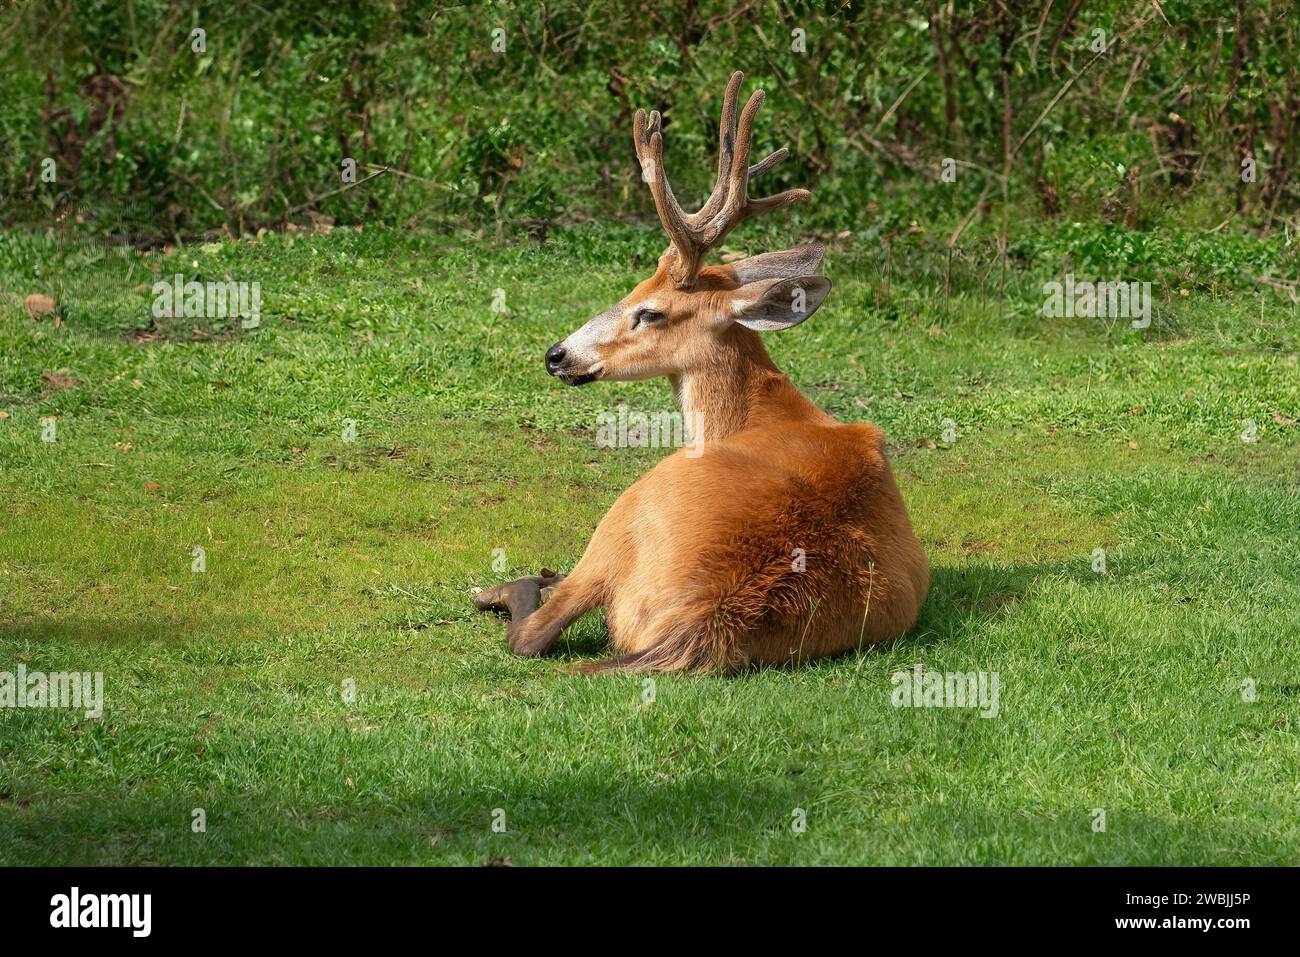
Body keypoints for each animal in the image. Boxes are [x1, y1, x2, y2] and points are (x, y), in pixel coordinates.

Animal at [473, 70, 930, 670]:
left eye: (650, 311)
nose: (557, 355)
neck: (756, 413)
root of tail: (704, 618)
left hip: (628, 507)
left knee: (536, 630)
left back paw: (511, 587)